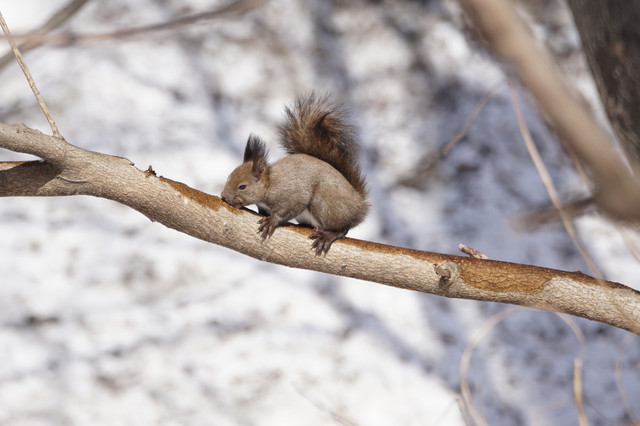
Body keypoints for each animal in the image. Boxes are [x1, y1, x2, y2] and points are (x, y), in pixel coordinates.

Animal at [221, 94, 369, 255]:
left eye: (242, 186)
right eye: (228, 177)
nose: (223, 196)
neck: (270, 184)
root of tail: (360, 204)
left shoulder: (291, 195)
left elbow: (289, 208)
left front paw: (271, 221)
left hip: (325, 202)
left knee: (343, 228)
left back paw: (328, 235)